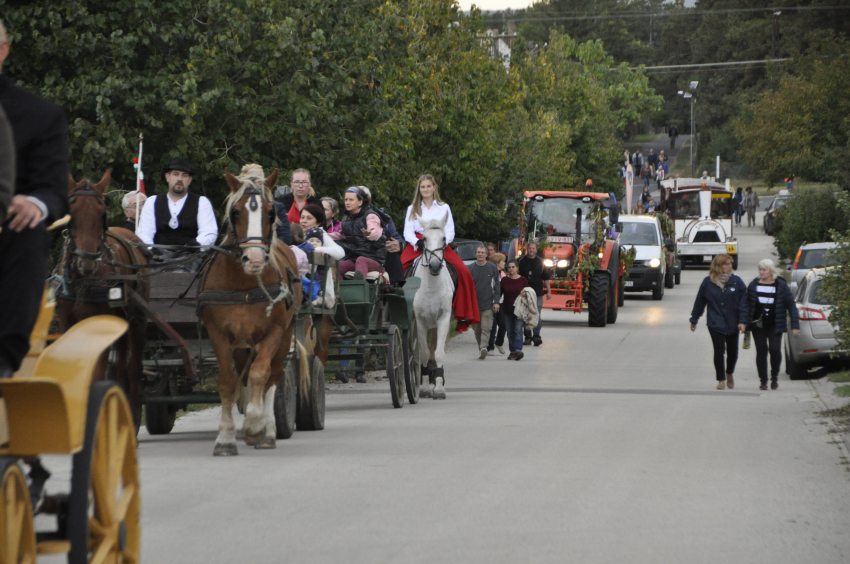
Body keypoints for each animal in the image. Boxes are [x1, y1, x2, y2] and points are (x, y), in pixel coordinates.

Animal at [56, 170, 149, 426]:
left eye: (101, 213)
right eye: (72, 213)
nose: (86, 263)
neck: (82, 281)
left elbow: (96, 376)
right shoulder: (66, 324)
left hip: (138, 320)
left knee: (134, 367)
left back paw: (133, 414)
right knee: (120, 366)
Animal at [200, 165, 304, 456]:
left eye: (270, 212)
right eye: (236, 212)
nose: (254, 259)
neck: (244, 283)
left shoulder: (274, 332)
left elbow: (261, 373)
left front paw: (255, 426)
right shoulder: (219, 335)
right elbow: (227, 381)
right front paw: (225, 438)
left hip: (284, 338)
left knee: (272, 377)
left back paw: (267, 432)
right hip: (242, 344)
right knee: (243, 376)